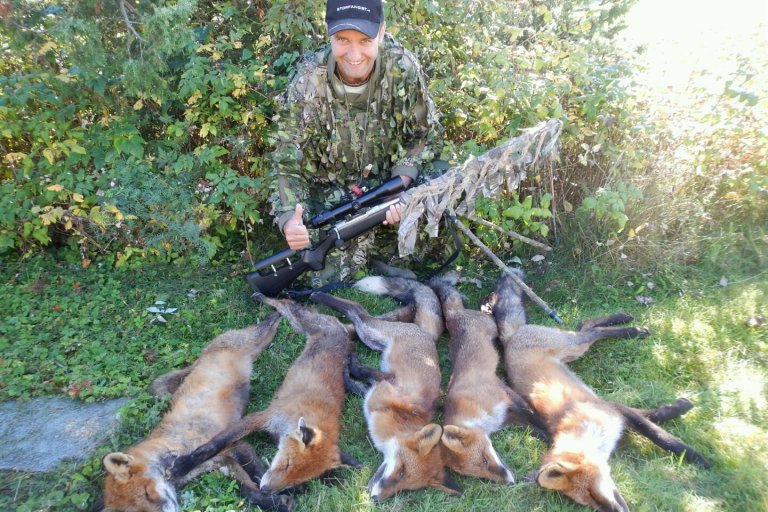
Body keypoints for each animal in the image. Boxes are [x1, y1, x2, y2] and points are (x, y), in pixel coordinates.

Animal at [100, 312, 292, 512]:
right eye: (141, 510)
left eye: (146, 492)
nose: (170, 510)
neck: (174, 446)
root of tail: (203, 354)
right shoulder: (220, 461)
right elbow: (247, 491)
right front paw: (274, 501)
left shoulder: (234, 444)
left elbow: (257, 471)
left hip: (255, 339)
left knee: (267, 324)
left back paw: (280, 312)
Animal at [169, 292, 360, 496]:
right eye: (287, 464)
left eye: (296, 479)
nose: (266, 489)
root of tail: (342, 333)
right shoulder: (261, 417)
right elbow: (215, 444)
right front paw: (183, 465)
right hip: (300, 320)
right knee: (286, 304)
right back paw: (266, 300)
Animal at [312, 278, 462, 502]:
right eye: (401, 472)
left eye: (405, 488)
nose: (375, 499)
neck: (402, 417)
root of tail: (427, 335)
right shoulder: (385, 386)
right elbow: (360, 370)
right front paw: (348, 361)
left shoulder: (373, 391)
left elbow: (357, 379)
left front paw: (347, 368)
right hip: (370, 331)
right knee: (358, 309)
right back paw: (317, 295)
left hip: (373, 341)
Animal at [428, 272, 544, 484]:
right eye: (481, 475)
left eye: (484, 459)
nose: (510, 481)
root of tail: (454, 316)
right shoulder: (507, 417)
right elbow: (535, 429)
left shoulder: (507, 396)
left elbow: (539, 422)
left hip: (491, 326)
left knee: (490, 316)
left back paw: (490, 304)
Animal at [496, 270, 712, 510]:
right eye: (587, 502)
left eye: (592, 491)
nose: (614, 510)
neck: (590, 428)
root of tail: (510, 339)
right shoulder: (615, 411)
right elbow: (653, 418)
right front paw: (677, 409)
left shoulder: (614, 409)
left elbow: (658, 435)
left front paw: (695, 456)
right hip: (574, 350)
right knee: (586, 325)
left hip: (574, 346)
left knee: (590, 327)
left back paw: (630, 327)